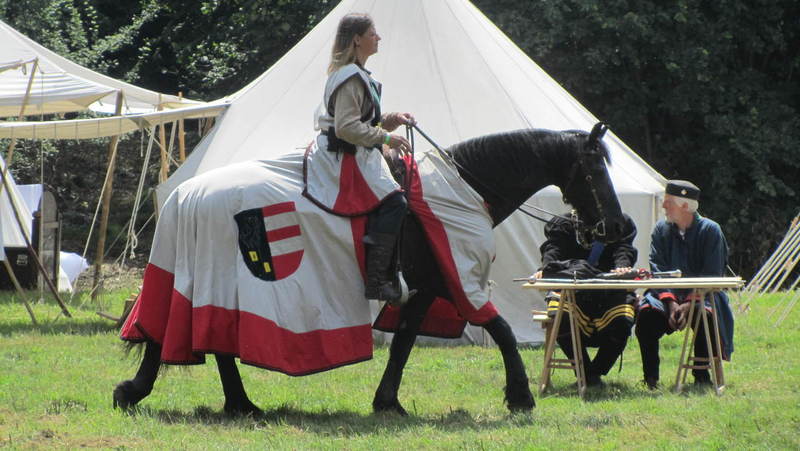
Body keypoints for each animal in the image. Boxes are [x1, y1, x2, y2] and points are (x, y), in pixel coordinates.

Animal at [113, 122, 625, 416]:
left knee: (206, 337)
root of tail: (184, 196)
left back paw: (239, 405)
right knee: (178, 333)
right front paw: (520, 396)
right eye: (595, 168)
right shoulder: (460, 279)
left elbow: (403, 343)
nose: (616, 225)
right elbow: (499, 329)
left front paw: (388, 402)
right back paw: (136, 392)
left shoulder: (427, 288)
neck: (462, 190)